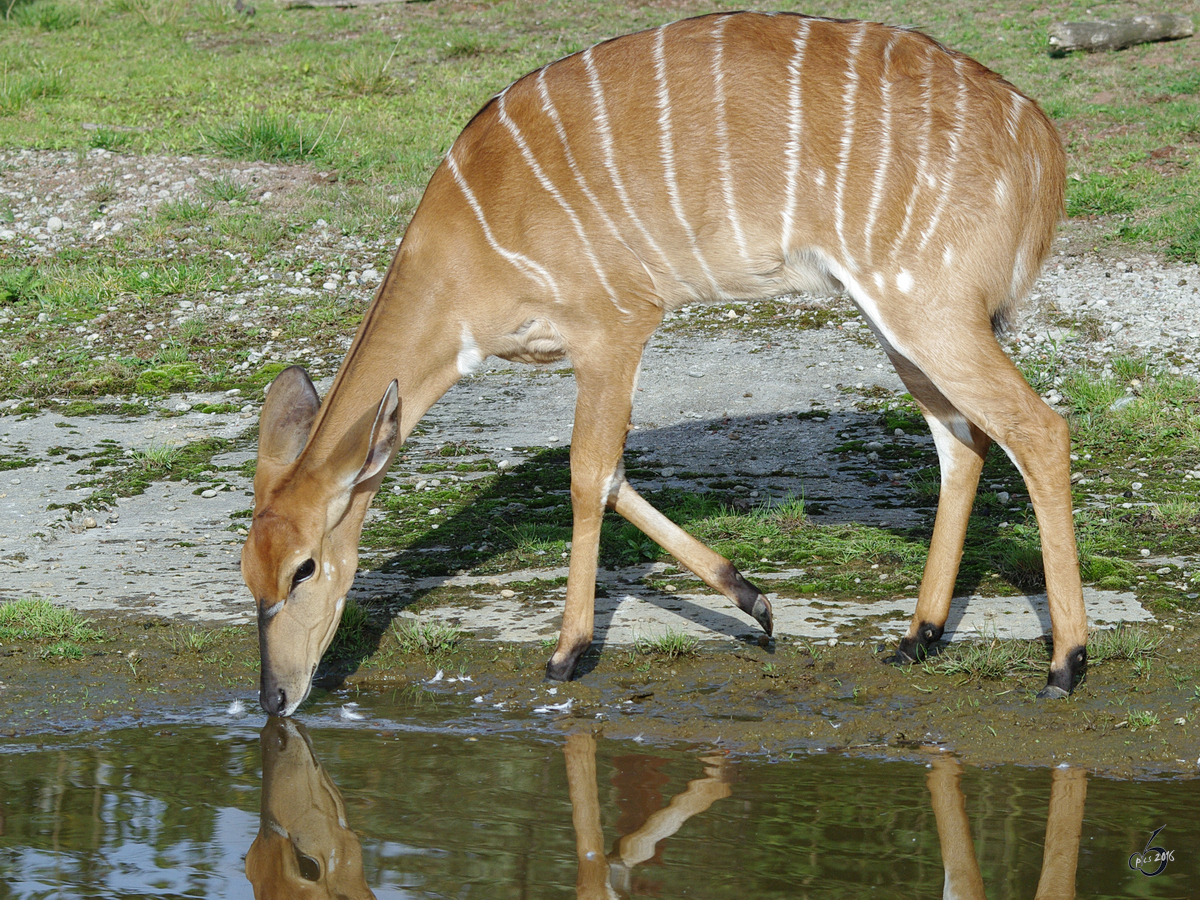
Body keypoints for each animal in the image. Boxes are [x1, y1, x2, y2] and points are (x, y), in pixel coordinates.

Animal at [241, 10, 1089, 715]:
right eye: (249, 575)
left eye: (304, 569)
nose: (274, 699)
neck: (469, 244)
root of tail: (1043, 147)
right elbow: (615, 476)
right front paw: (754, 602)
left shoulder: (615, 326)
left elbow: (588, 474)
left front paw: (567, 653)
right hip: (897, 318)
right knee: (963, 440)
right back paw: (918, 637)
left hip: (928, 306)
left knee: (1037, 428)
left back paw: (1066, 664)